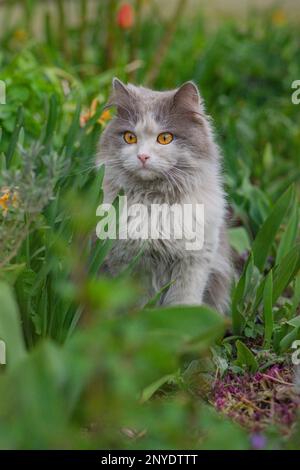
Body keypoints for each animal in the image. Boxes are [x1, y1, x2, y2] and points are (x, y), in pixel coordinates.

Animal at [96, 78, 232, 312]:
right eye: (130, 137)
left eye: (165, 138)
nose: (142, 156)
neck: (155, 201)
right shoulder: (128, 262)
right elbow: (139, 304)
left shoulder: (193, 262)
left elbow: (182, 303)